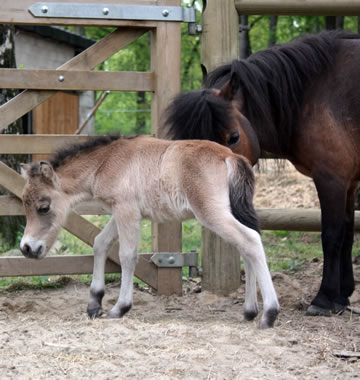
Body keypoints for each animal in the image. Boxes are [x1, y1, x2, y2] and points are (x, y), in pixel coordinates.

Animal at [165, 29, 360, 316]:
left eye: (233, 137)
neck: (314, 92)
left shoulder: (331, 179)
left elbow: (332, 235)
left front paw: (324, 299)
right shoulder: (348, 181)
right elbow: (346, 233)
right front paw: (341, 296)